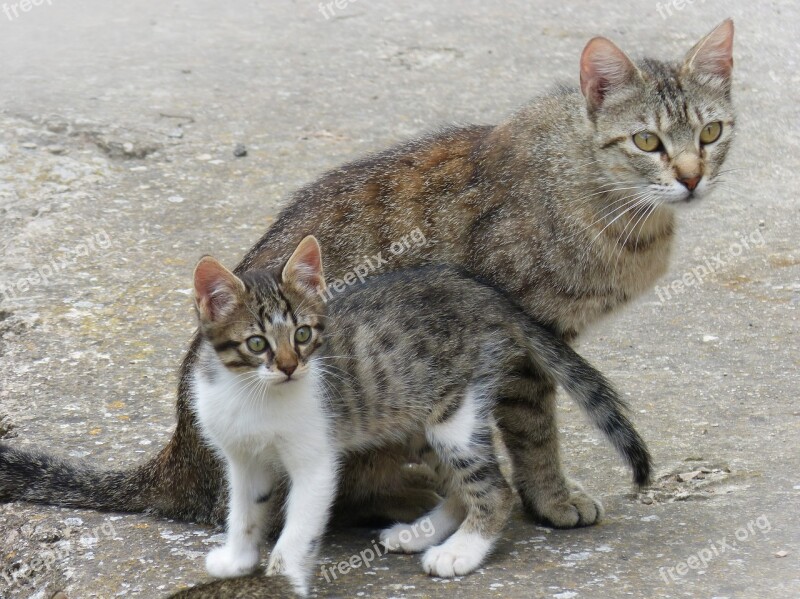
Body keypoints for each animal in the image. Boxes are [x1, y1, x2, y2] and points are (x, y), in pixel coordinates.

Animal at [0, 21, 736, 532]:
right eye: (647, 141)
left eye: (712, 133)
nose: (690, 177)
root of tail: (176, 459)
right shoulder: (529, 342)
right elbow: (535, 436)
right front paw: (551, 500)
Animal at [192, 237, 648, 592]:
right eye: (256, 343)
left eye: (303, 334)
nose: (289, 367)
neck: (254, 395)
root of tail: (480, 291)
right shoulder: (244, 458)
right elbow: (244, 511)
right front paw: (236, 559)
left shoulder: (315, 463)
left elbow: (297, 533)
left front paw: (281, 580)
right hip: (416, 420)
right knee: (459, 487)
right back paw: (418, 534)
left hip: (455, 415)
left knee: (496, 490)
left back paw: (460, 552)